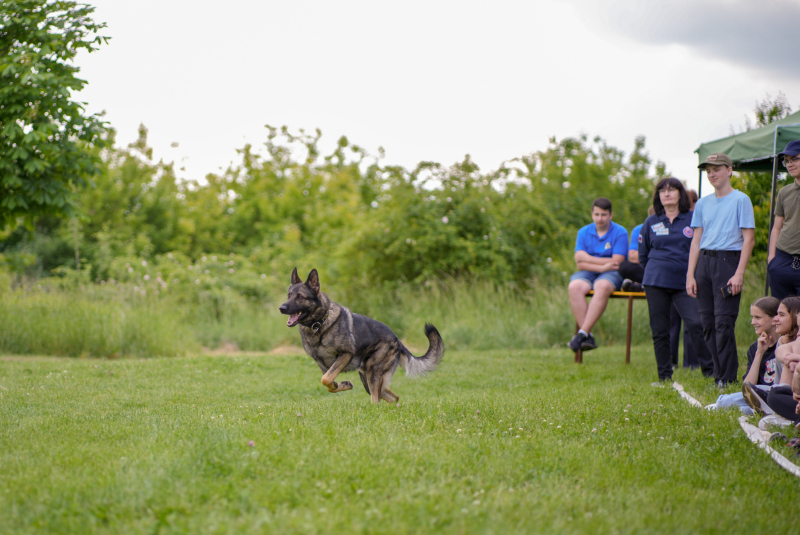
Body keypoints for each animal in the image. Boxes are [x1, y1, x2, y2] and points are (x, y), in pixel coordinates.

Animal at [280, 270, 444, 404]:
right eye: (288, 296)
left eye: (300, 297)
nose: (282, 308)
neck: (319, 323)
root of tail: (397, 339)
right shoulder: (322, 364)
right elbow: (328, 383)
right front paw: (342, 385)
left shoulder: (346, 354)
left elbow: (325, 379)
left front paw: (340, 384)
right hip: (366, 378)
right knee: (392, 397)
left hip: (372, 373)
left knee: (377, 399)